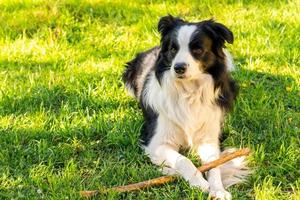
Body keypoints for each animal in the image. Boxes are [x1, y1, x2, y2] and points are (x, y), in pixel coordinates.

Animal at [122, 15, 248, 200]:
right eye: (173, 49)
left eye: (197, 49)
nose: (178, 67)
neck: (188, 91)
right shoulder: (156, 143)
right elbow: (183, 160)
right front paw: (200, 183)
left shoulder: (209, 137)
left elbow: (214, 164)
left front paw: (218, 189)